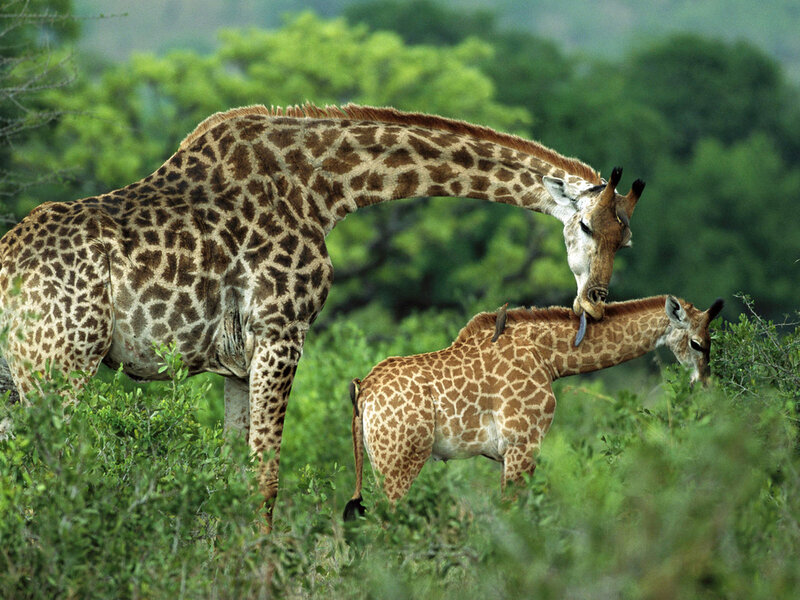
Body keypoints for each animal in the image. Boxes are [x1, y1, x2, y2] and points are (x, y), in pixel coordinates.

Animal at [0, 103, 645, 526]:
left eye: (628, 239)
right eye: (587, 225)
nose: (595, 299)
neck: (324, 189)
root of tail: (7, 269)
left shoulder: (237, 362)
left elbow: (234, 474)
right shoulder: (282, 332)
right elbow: (267, 480)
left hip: (18, 374)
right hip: (59, 368)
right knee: (49, 474)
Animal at [343, 295, 724, 518]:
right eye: (697, 343)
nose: (705, 385)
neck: (549, 356)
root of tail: (363, 390)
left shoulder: (506, 453)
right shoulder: (523, 443)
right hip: (400, 461)